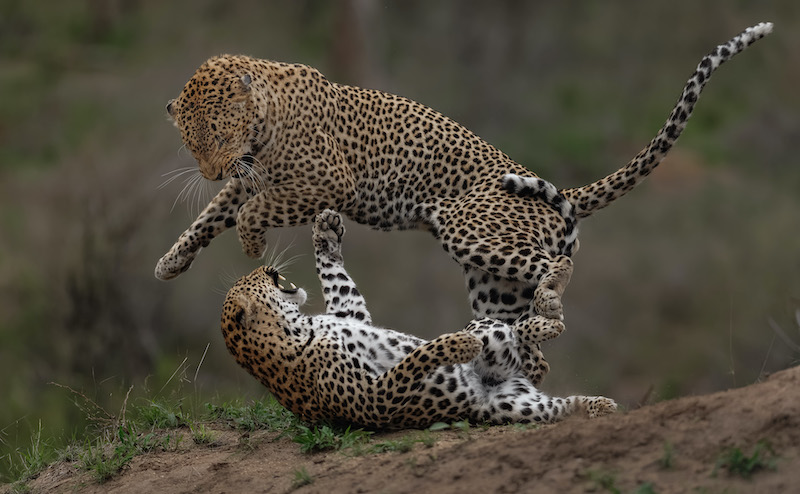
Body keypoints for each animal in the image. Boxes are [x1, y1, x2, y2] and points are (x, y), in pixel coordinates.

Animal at [157, 23, 773, 386]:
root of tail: (555, 188)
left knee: (559, 266)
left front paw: (251, 243)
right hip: (494, 290)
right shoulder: (256, 177)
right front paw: (172, 261)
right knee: (529, 336)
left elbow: (249, 211)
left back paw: (551, 299)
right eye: (190, 141)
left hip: (467, 227)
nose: (208, 168)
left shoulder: (326, 181)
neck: (263, 119)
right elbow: (215, 211)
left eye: (217, 130)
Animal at [221, 209, 617, 429]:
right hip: (514, 405)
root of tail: (507, 381)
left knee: (519, 341)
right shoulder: (375, 400)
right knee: (545, 384)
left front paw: (326, 232)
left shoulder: (352, 312)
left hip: (508, 364)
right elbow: (415, 359)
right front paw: (455, 345)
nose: (267, 267)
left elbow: (336, 279)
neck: (298, 327)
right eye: (252, 279)